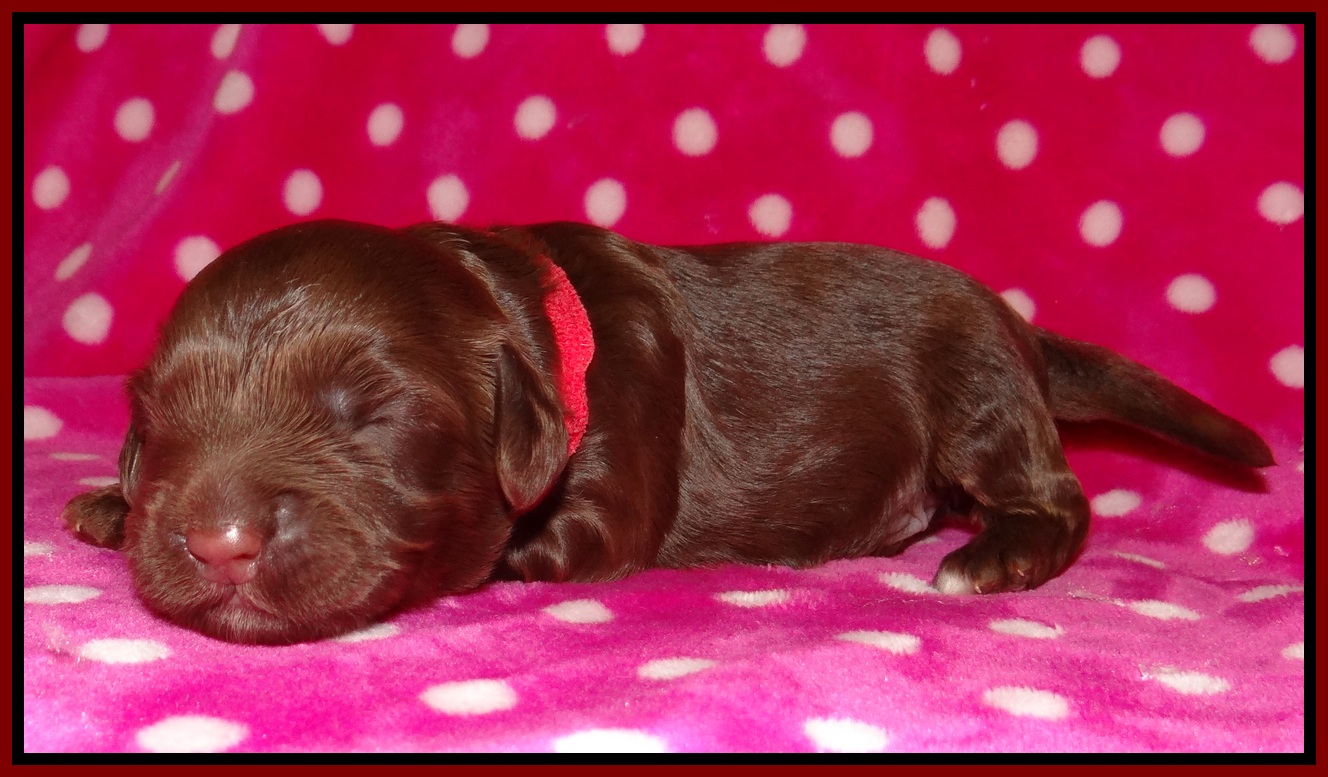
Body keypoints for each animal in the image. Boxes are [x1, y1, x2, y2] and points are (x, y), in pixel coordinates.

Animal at [63, 219, 1274, 644]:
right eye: (158, 419)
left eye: (374, 413)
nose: (214, 543)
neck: (522, 310)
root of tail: (1018, 326)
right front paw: (113, 501)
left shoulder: (601, 504)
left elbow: (514, 541)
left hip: (977, 392)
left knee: (1061, 499)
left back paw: (991, 556)